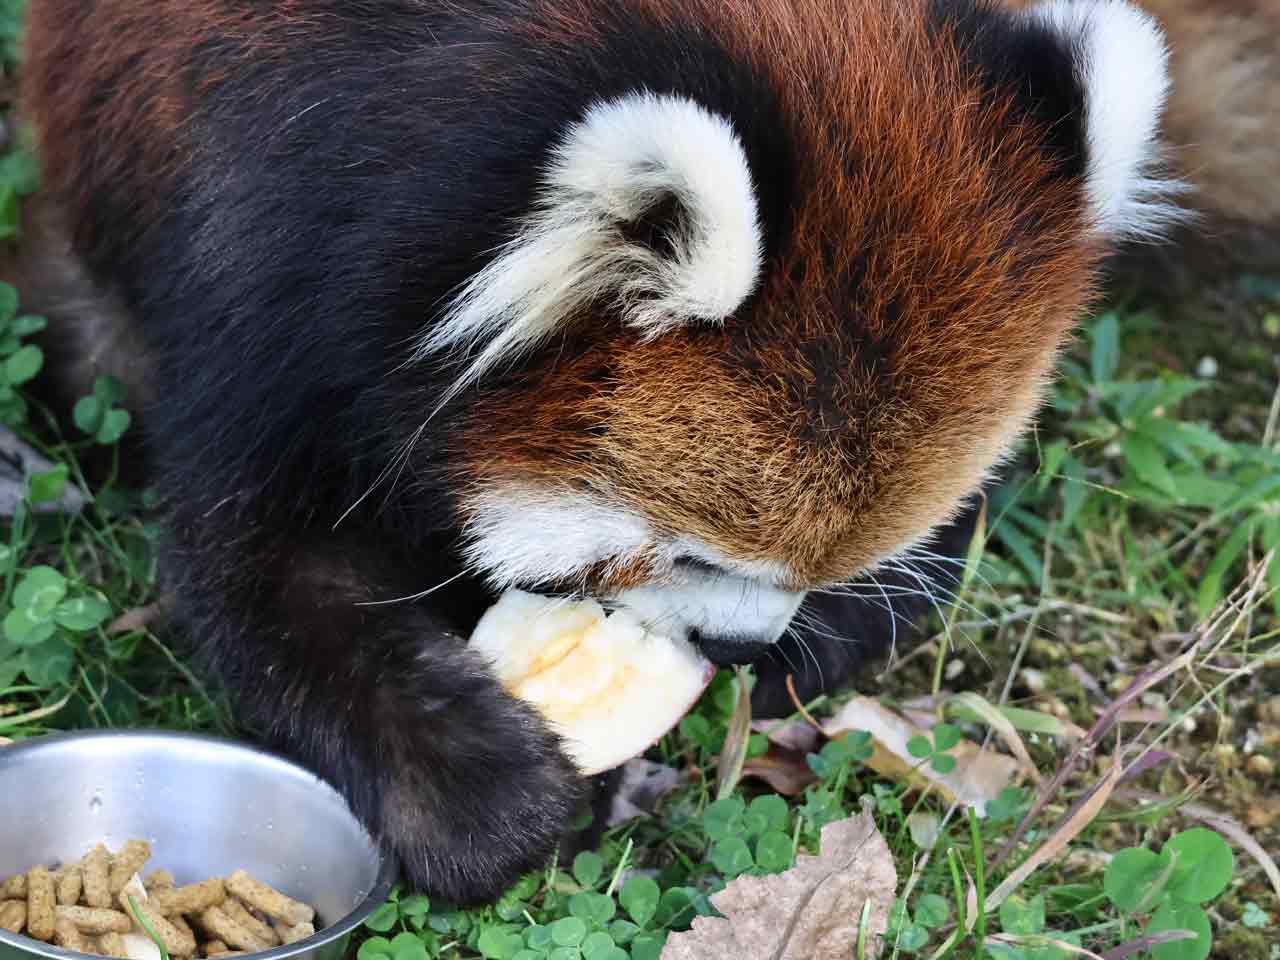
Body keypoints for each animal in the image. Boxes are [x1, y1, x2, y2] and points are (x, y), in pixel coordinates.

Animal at [5, 0, 1208, 901]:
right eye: (687, 555)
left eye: (833, 564)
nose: (735, 648)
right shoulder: (274, 276)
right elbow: (260, 580)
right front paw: (488, 797)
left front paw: (821, 640)